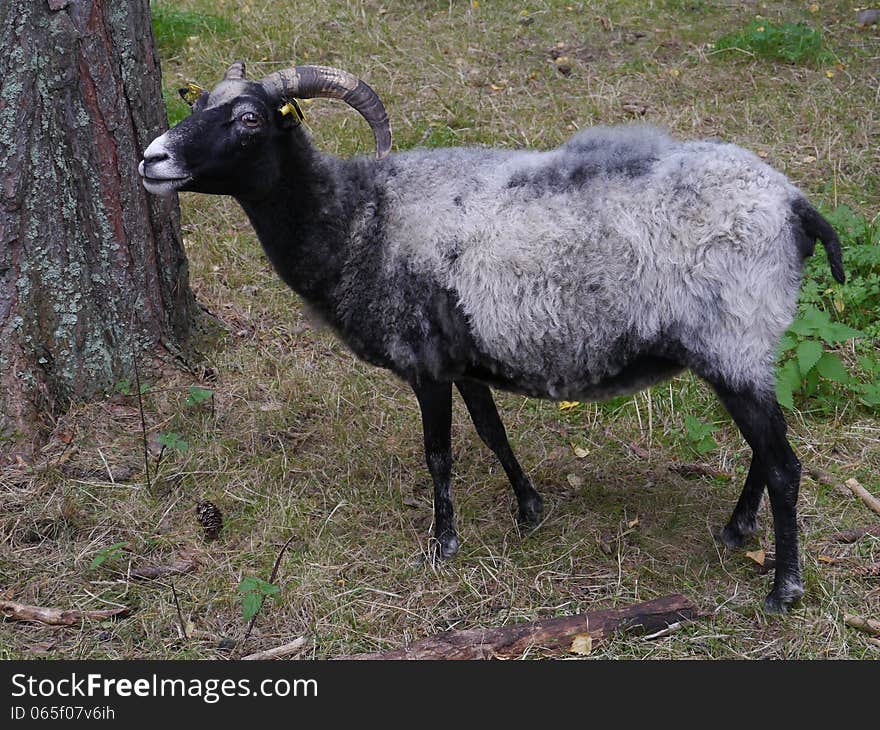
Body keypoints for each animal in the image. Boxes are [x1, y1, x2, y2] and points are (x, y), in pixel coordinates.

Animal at [139, 61, 844, 608]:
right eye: (197, 102)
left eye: (249, 119)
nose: (151, 158)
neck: (358, 218)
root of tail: (794, 204)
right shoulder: (463, 360)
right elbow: (491, 431)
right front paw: (529, 510)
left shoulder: (424, 361)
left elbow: (439, 453)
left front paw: (442, 545)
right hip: (744, 348)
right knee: (766, 449)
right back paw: (737, 530)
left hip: (732, 341)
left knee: (784, 464)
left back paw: (783, 589)